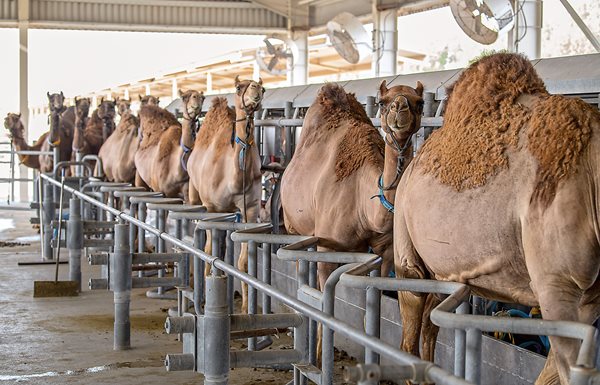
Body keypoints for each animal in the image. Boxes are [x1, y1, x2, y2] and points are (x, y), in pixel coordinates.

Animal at [186, 76, 264, 312]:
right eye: (238, 87)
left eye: (263, 87)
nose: (257, 89)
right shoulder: (212, 208)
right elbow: (209, 250)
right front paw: (205, 297)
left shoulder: (250, 209)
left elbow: (243, 262)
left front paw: (246, 307)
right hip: (195, 193)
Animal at [280, 81, 422, 288]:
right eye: (382, 102)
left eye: (420, 102)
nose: (399, 108)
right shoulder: (328, 247)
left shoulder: (385, 251)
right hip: (292, 226)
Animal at [394, 51, 600, 384]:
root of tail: (416, 160)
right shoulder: (558, 285)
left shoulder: (591, 297)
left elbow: (555, 371)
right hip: (404, 233)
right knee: (412, 303)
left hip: (445, 270)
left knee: (430, 318)